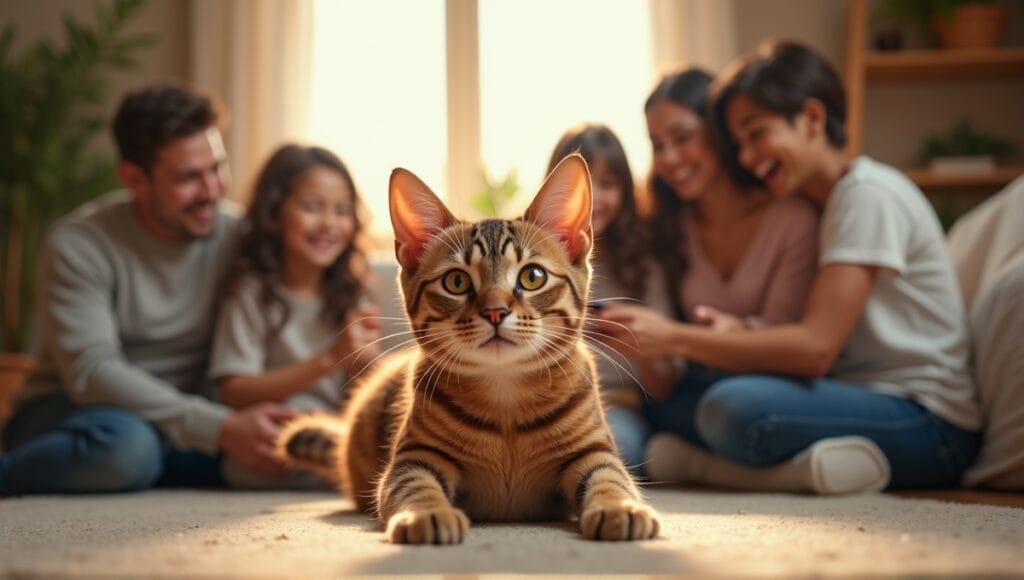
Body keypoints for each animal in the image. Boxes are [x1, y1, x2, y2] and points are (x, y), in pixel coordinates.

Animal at [278, 154, 663, 545]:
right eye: (456, 281)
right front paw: (428, 513)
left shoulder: (594, 452)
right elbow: (414, 486)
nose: (495, 311)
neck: (506, 398)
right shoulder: (414, 457)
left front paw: (620, 507)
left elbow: (611, 479)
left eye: (533, 277)